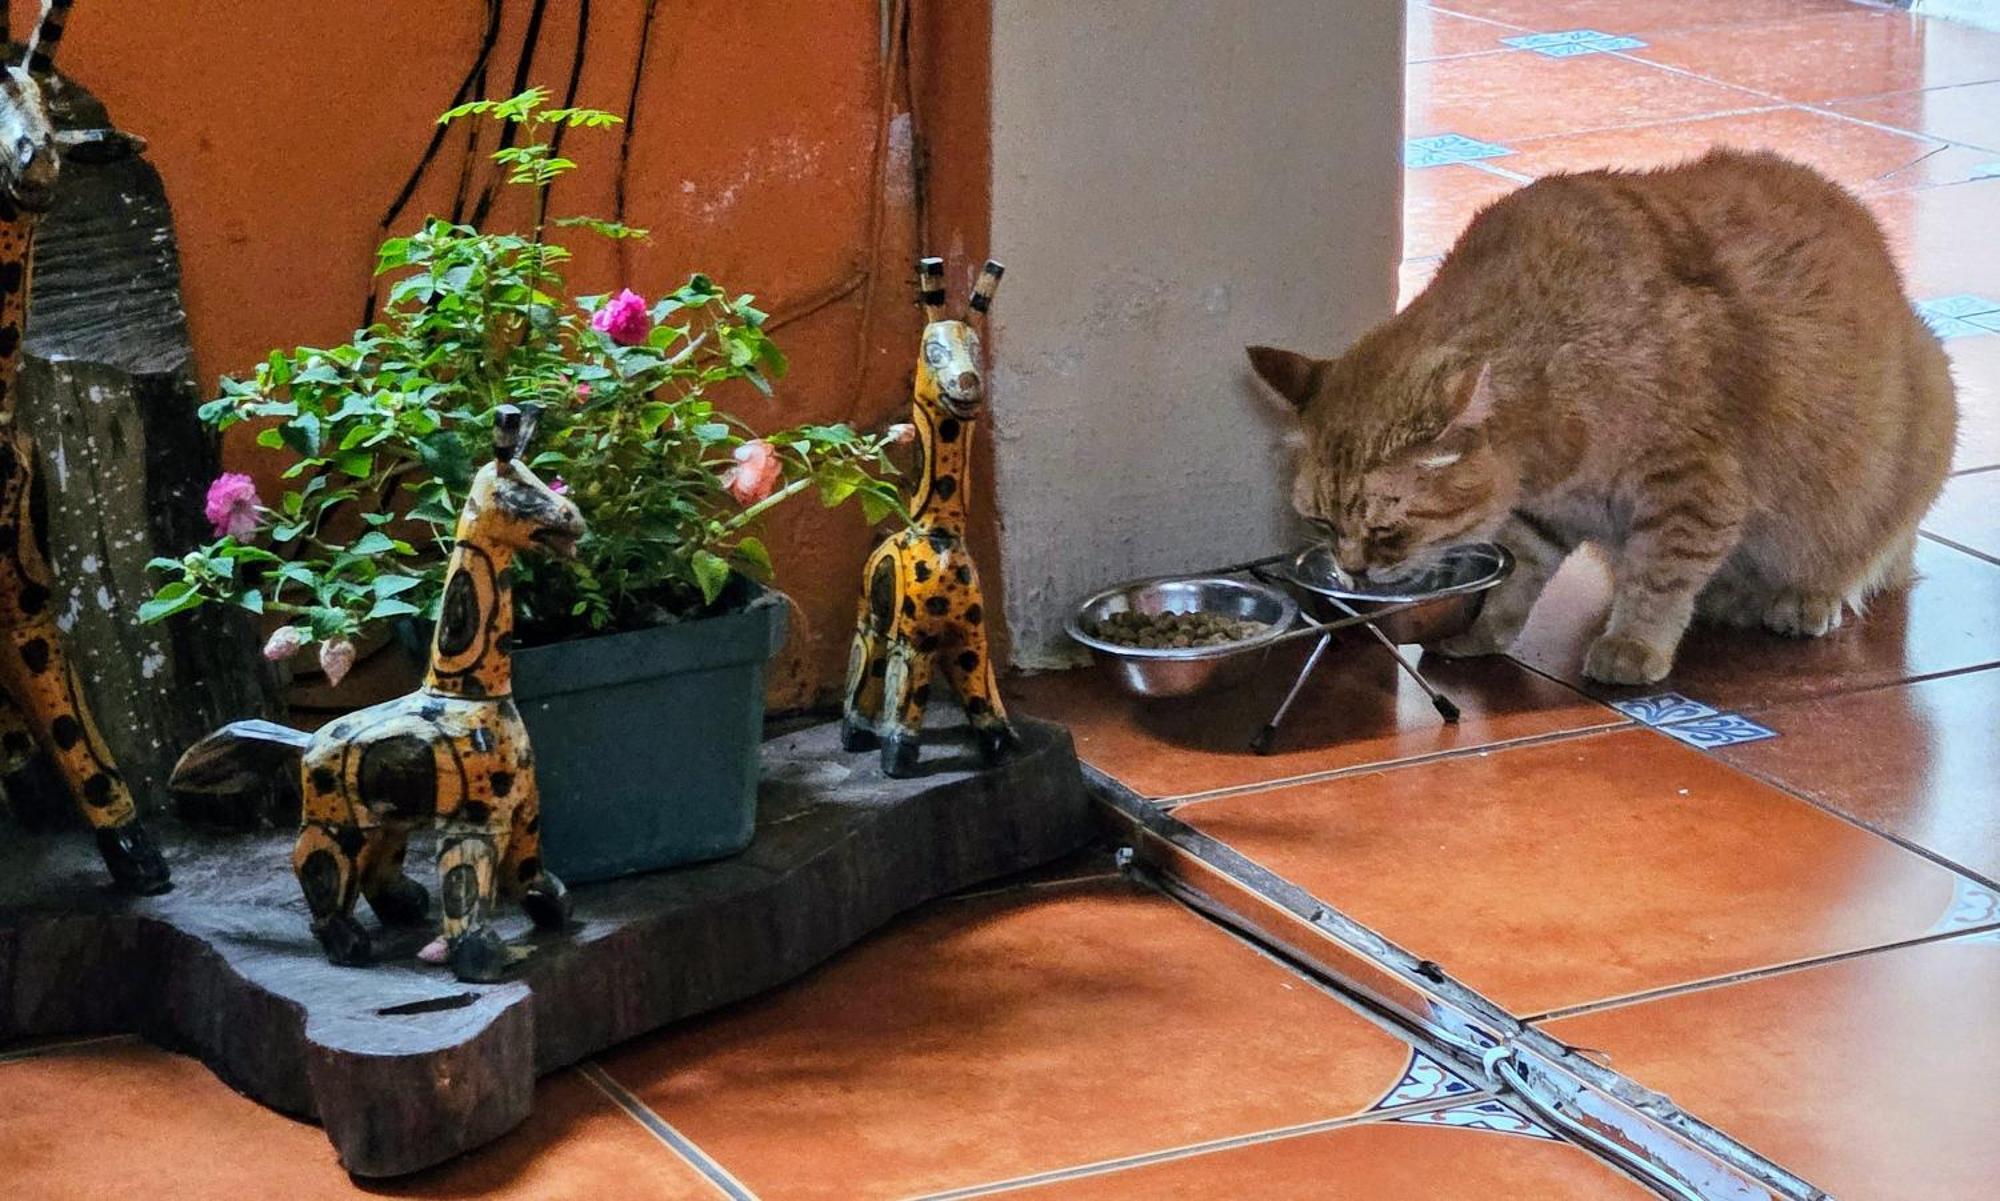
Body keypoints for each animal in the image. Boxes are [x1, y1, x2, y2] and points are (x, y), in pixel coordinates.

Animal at [1248, 148, 1952, 684]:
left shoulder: (1693, 490)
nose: (1353, 571)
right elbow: (1520, 573)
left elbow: (1661, 578)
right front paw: (1485, 631)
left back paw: (1804, 597)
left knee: (1865, 559)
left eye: (1386, 529)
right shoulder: (1541, 512)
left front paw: (1634, 645)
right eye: (1320, 522)